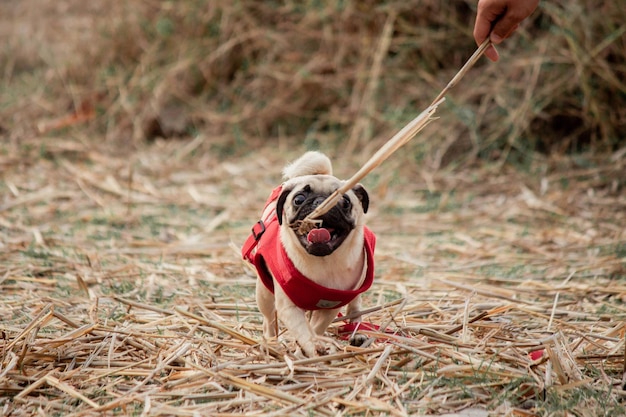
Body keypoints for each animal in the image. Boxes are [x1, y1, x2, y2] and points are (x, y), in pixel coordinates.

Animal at [241, 151, 372, 356]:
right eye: (299, 199)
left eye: (345, 202)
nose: (321, 202)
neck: (321, 262)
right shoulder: (289, 308)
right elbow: (303, 329)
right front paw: (309, 348)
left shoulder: (330, 306)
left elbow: (315, 328)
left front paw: (310, 348)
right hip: (264, 294)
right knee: (269, 321)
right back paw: (271, 344)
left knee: (355, 306)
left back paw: (356, 332)